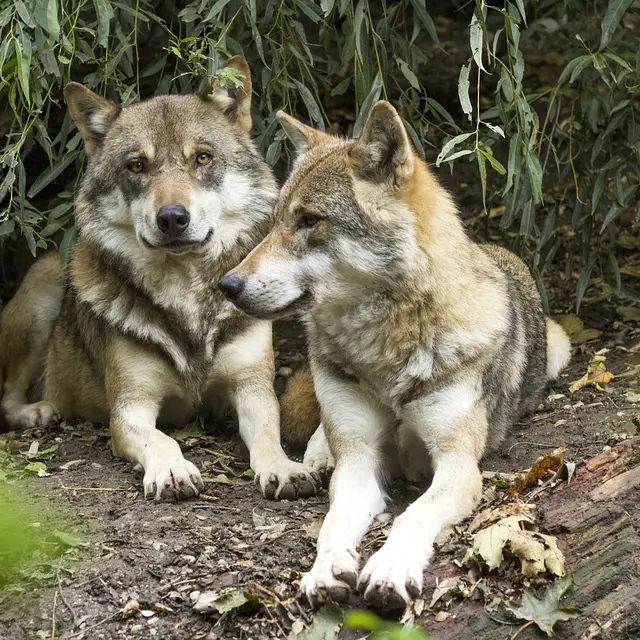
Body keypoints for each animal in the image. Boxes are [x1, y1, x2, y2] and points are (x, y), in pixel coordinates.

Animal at [0, 57, 321, 502]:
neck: (186, 295)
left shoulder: (253, 390)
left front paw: (284, 469)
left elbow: (268, 437)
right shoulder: (130, 408)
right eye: (137, 166)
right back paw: (38, 411)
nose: (171, 218)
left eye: (202, 158)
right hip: (42, 296)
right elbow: (163, 439)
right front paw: (172, 470)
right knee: (7, 398)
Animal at [218, 100, 572, 610]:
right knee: (323, 436)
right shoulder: (361, 459)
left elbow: (414, 515)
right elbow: (333, 523)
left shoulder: (458, 464)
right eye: (279, 218)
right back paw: (318, 457)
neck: (385, 351)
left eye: (309, 220)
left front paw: (389, 568)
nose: (226, 285)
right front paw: (324, 570)